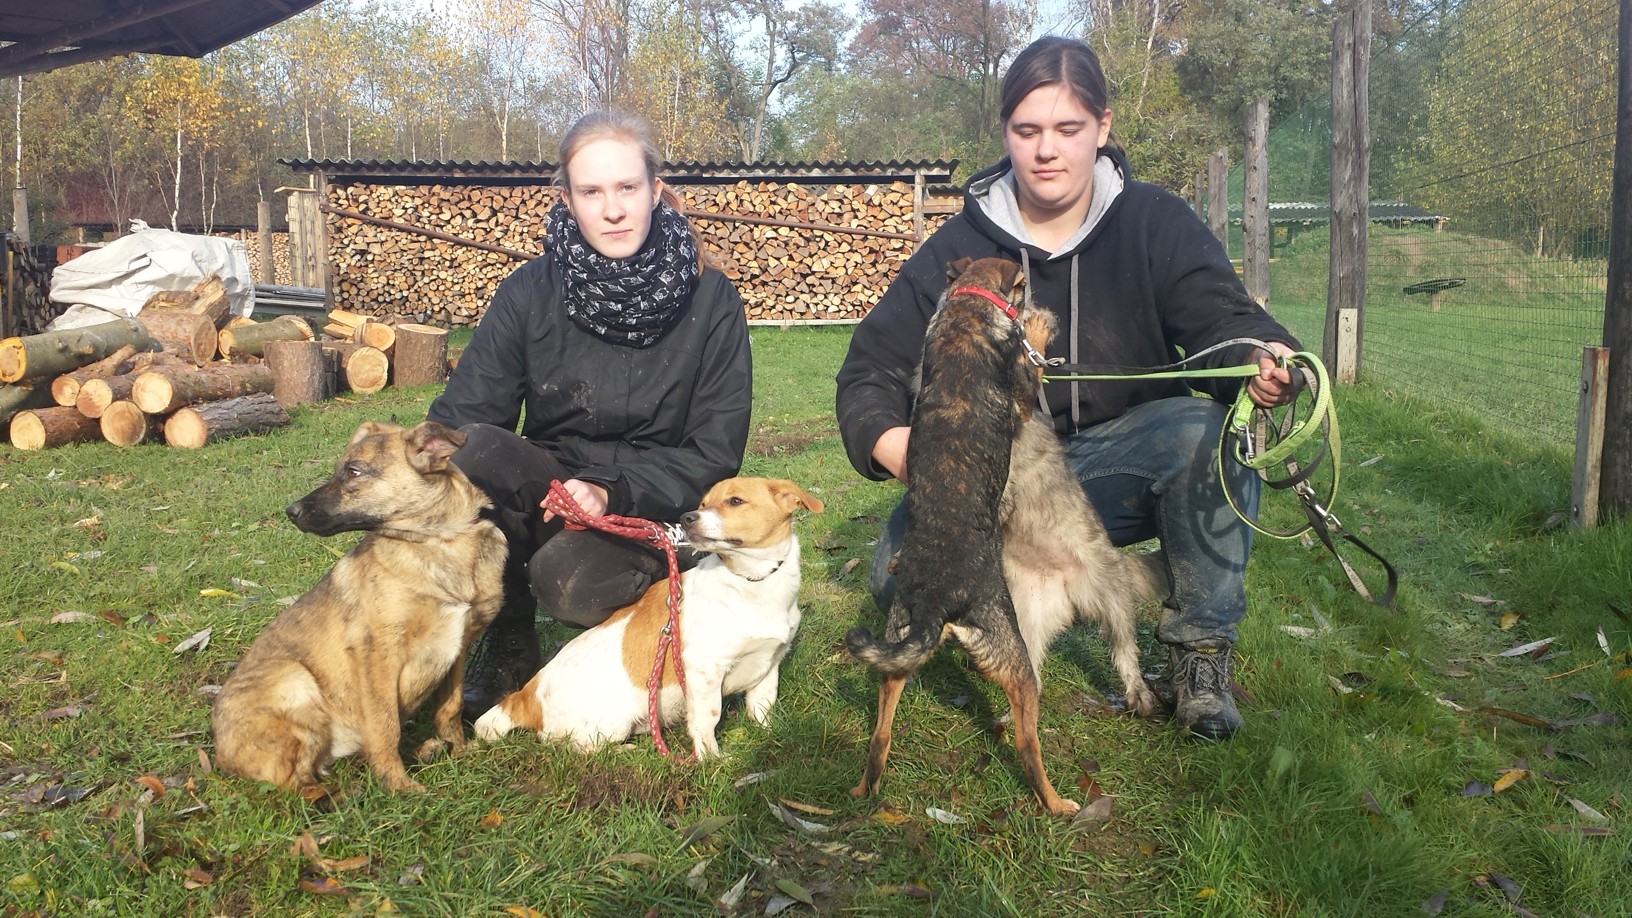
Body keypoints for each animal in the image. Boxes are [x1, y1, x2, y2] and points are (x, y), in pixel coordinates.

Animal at [213, 418, 502, 790]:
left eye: (353, 471)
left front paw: (461, 750)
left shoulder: (458, 648)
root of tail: (220, 758)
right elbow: (385, 725)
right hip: (294, 678)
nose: (290, 512)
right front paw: (399, 786)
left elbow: (450, 707)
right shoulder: (376, 652)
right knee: (296, 780)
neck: (439, 541)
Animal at [476, 473, 822, 754]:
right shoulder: (705, 672)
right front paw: (711, 759)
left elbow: (762, 708)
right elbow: (707, 720)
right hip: (609, 723)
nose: (687, 517)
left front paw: (770, 737)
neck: (752, 582)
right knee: (571, 746)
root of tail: (526, 695)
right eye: (703, 503)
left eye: (735, 501)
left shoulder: (770, 664)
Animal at [848, 253, 1090, 810]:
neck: (968, 304)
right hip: (1015, 659)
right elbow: (1032, 362)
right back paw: (1056, 802)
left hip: (895, 650)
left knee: (879, 736)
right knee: (1027, 743)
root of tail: (937, 604)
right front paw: (1035, 328)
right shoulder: (1021, 392)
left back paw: (864, 788)